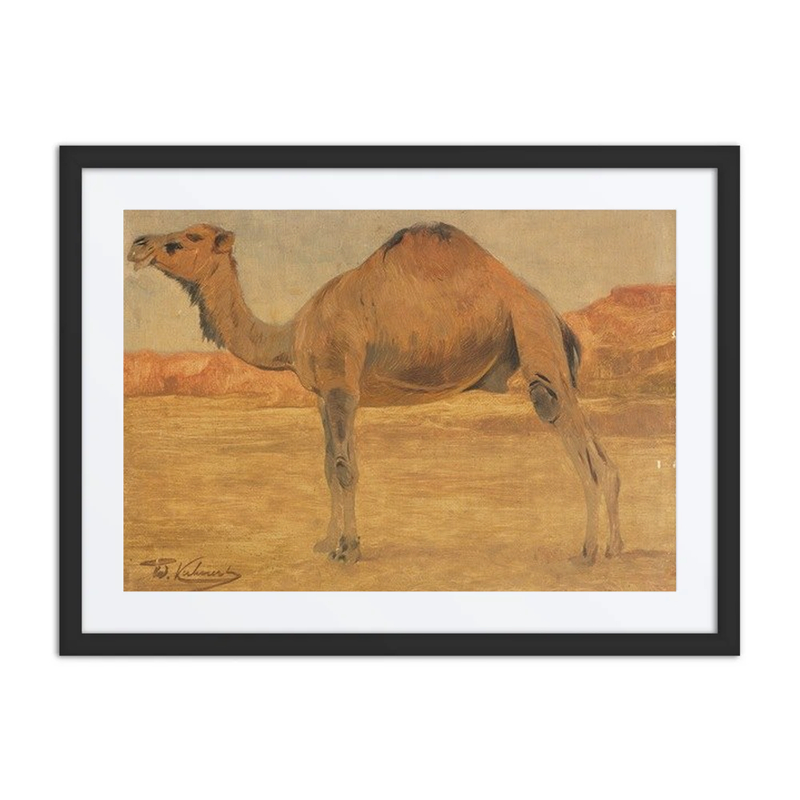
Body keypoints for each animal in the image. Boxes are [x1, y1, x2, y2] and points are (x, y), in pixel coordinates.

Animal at [127, 222, 622, 565]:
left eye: (187, 238)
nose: (138, 244)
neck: (290, 335)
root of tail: (554, 314)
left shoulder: (341, 386)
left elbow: (345, 470)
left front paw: (347, 551)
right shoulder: (324, 395)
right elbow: (329, 467)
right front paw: (327, 541)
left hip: (537, 346)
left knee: (580, 447)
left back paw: (587, 552)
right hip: (549, 355)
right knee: (602, 456)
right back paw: (616, 547)